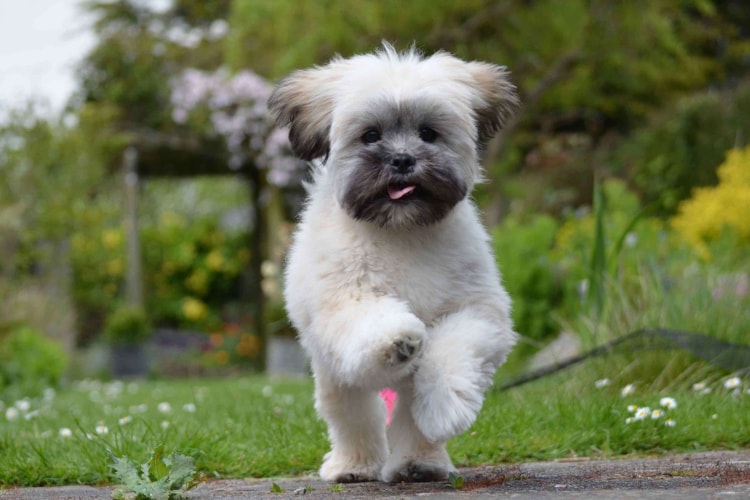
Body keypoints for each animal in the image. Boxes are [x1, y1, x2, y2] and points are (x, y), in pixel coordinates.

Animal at [270, 44, 524, 484]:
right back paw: (354, 466)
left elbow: (453, 350)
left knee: (408, 416)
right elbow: (373, 320)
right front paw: (398, 339)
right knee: (354, 416)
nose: (403, 159)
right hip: (337, 374)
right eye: (371, 135)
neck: (401, 230)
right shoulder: (343, 304)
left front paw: (446, 405)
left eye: (429, 133)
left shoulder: (478, 311)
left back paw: (418, 463)